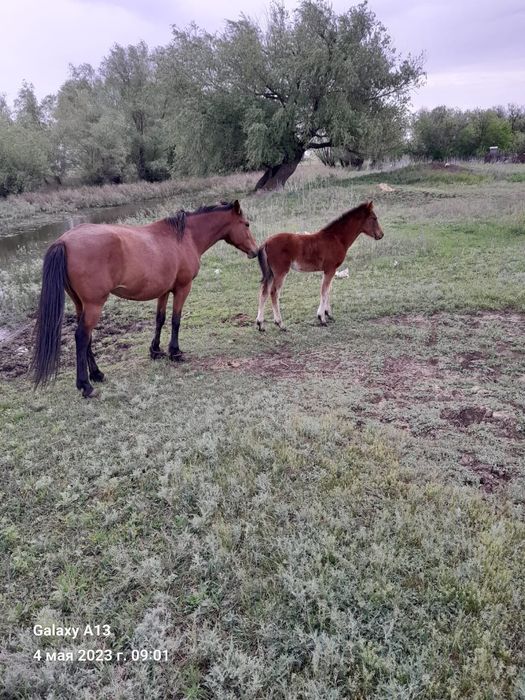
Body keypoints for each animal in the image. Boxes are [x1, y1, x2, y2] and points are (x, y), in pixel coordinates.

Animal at [31, 200, 258, 398]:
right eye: (246, 224)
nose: (255, 251)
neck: (185, 238)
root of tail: (64, 240)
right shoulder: (182, 288)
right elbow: (176, 320)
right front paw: (175, 352)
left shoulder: (164, 291)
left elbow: (160, 319)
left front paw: (156, 351)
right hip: (94, 305)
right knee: (82, 337)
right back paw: (86, 385)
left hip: (81, 304)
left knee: (87, 338)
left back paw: (97, 374)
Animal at [256, 201, 384, 331]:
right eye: (374, 218)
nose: (381, 235)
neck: (336, 238)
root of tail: (266, 242)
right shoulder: (330, 269)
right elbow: (324, 291)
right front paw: (322, 318)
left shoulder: (330, 270)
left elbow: (328, 289)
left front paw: (328, 314)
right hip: (280, 272)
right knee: (274, 292)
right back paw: (280, 323)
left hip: (270, 273)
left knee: (264, 292)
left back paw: (260, 324)